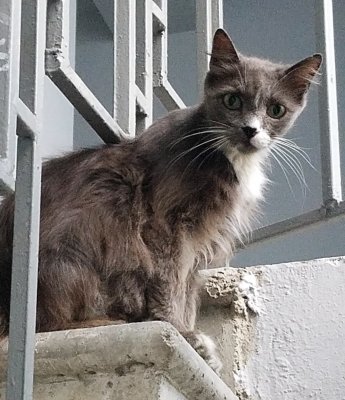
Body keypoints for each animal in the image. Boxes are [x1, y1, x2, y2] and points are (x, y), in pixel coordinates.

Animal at [0, 28, 320, 376]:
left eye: (276, 110)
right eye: (232, 100)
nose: (250, 130)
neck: (229, 158)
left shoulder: (201, 243)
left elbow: (188, 291)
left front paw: (195, 344)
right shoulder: (165, 225)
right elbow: (170, 283)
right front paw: (180, 334)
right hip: (70, 250)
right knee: (44, 326)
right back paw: (110, 323)